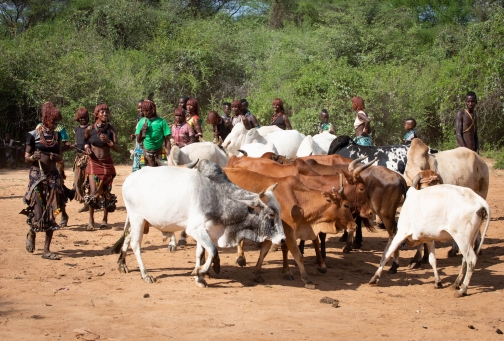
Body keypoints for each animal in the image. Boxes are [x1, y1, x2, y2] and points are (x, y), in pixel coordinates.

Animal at [116, 159, 286, 286]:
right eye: (271, 214)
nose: (283, 239)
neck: (218, 195)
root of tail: (129, 179)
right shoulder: (195, 229)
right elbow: (213, 251)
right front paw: (200, 271)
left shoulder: (205, 231)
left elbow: (201, 253)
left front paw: (199, 277)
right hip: (137, 218)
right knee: (135, 244)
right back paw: (145, 274)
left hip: (141, 220)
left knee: (127, 237)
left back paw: (122, 264)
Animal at [224, 167, 354, 286]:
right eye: (346, 205)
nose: (355, 225)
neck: (299, 202)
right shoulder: (289, 233)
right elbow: (297, 254)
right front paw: (306, 279)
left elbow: (264, 251)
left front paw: (258, 274)